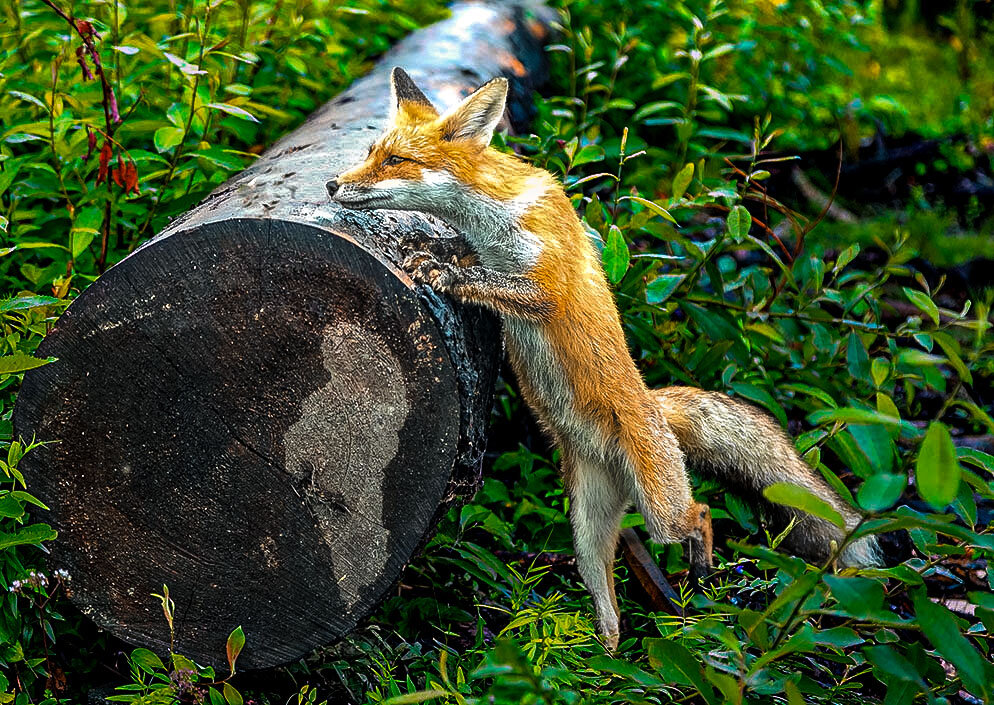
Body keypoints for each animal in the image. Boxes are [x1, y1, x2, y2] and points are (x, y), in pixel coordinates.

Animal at [330, 69, 880, 648]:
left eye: (395, 161)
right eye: (371, 153)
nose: (332, 186)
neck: (496, 217)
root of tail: (653, 410)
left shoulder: (547, 286)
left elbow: (489, 281)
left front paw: (444, 273)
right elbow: (470, 261)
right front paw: (438, 257)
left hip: (660, 513)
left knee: (701, 513)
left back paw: (699, 571)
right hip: (586, 533)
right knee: (608, 603)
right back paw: (604, 653)